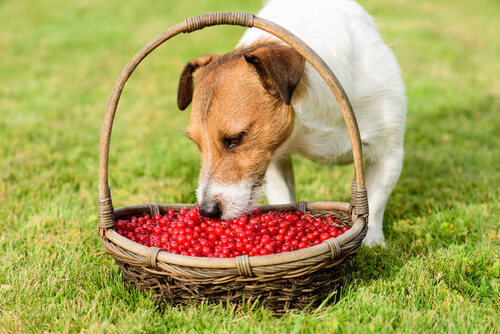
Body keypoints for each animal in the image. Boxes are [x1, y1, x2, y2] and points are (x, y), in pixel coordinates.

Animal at [178, 0, 408, 245]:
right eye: (197, 144)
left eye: (236, 138)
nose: (207, 211)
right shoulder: (271, 156)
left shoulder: (389, 153)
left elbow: (376, 202)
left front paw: (372, 243)